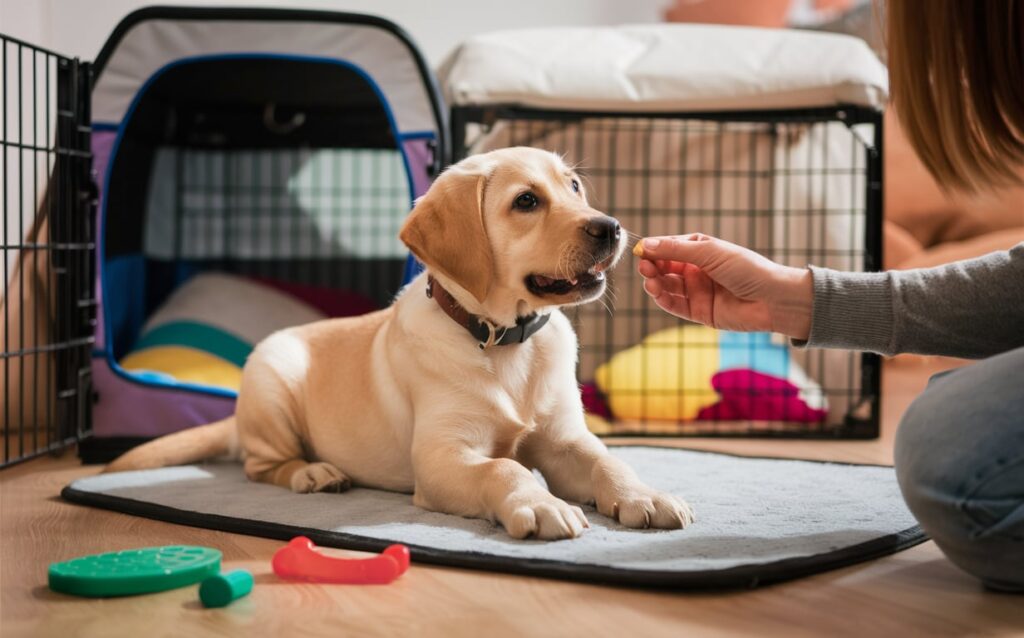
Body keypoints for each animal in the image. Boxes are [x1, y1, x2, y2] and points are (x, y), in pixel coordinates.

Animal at [105, 146, 696, 540]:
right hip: (274, 374)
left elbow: (608, 462)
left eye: (573, 186)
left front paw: (644, 496)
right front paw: (541, 503)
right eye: (526, 201)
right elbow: (503, 467)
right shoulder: (440, 457)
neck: (505, 338)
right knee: (261, 465)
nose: (611, 227)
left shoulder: (565, 439)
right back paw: (314, 473)